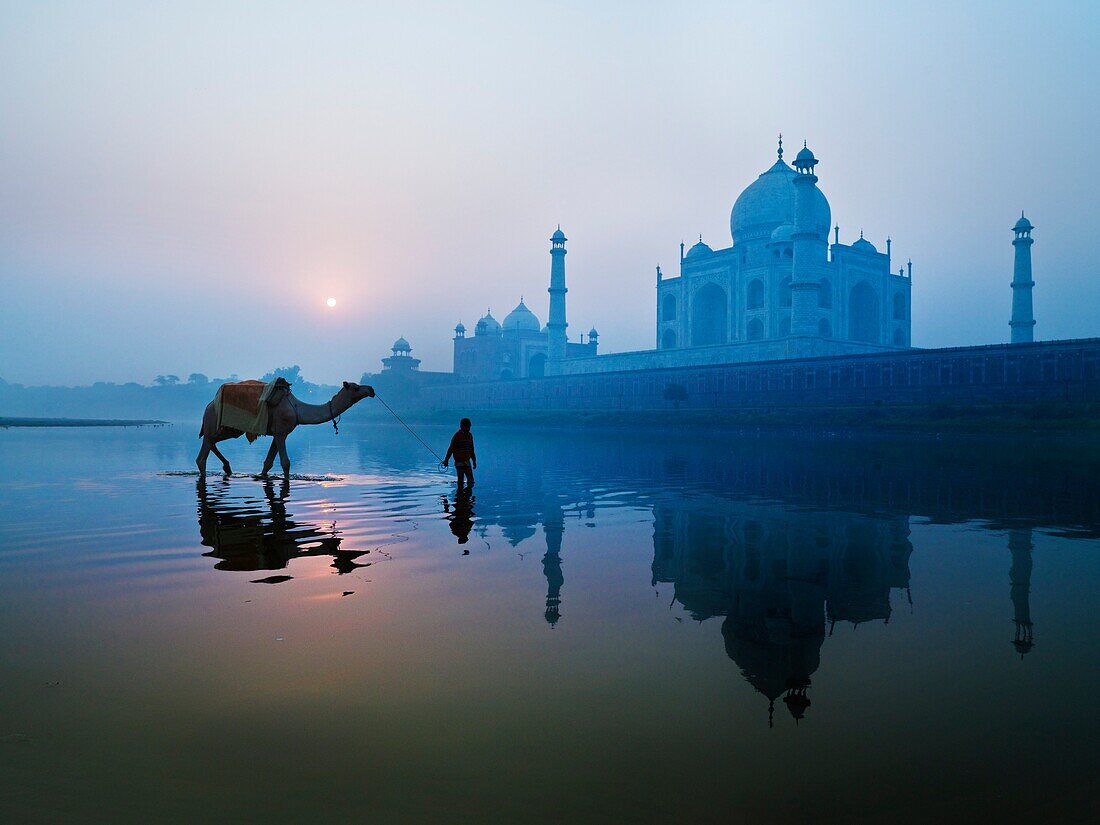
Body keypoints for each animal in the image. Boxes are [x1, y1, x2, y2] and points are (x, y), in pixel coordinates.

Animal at [193, 380, 374, 477]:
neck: (296, 409)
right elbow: (285, 462)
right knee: (203, 454)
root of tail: (208, 406)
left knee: (212, 441)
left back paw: (228, 468)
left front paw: (261, 475)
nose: (371, 389)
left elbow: (268, 463)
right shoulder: (281, 432)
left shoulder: (277, 434)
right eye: (356, 387)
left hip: (230, 430)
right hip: (214, 422)